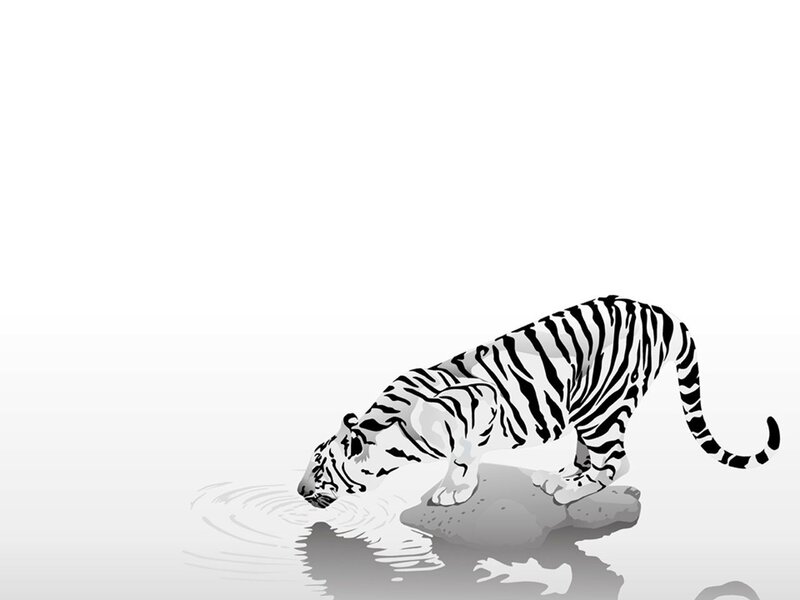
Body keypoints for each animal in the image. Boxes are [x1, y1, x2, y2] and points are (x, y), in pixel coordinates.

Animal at [297, 295, 780, 508]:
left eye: (320, 469)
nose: (299, 490)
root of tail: (658, 310)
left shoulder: (479, 403)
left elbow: (464, 457)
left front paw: (455, 491)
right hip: (588, 406)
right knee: (592, 453)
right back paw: (561, 474)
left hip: (602, 407)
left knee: (617, 461)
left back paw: (570, 490)